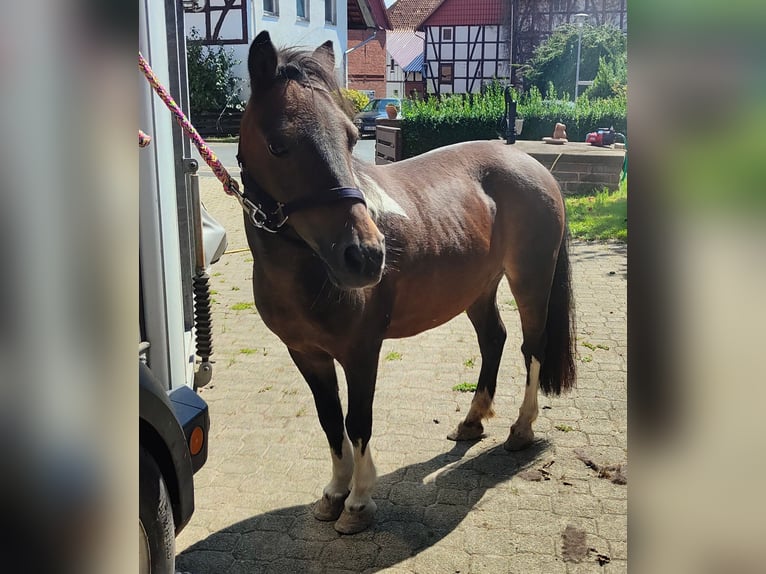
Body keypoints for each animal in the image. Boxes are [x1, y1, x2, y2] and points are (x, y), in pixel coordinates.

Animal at [238, 30, 576, 536]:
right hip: (478, 287)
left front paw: (358, 502)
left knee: (530, 348)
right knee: (494, 339)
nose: (366, 256)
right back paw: (473, 421)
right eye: (278, 144)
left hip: (531, 280)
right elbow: (329, 420)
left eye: (351, 138)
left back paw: (521, 429)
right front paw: (333, 493)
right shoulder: (305, 354)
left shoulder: (361, 352)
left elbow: (357, 421)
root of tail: (531, 165)